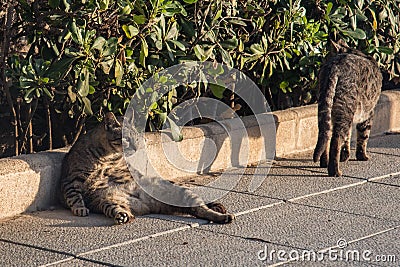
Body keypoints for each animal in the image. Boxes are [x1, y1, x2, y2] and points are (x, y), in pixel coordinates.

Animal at [59, 112, 234, 225]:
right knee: (117, 210)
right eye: (126, 139)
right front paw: (80, 208)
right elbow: (73, 197)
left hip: (182, 193)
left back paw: (223, 216)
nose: (136, 148)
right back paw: (123, 216)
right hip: (107, 201)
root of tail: (147, 205)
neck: (107, 156)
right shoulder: (70, 180)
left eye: (137, 138)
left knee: (202, 209)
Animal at [312, 45, 382, 178]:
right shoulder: (368, 114)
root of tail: (335, 66)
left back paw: (325, 162)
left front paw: (345, 156)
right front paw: (362, 156)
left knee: (326, 135)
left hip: (328, 109)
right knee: (336, 140)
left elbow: (348, 138)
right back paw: (334, 171)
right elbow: (363, 137)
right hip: (346, 109)